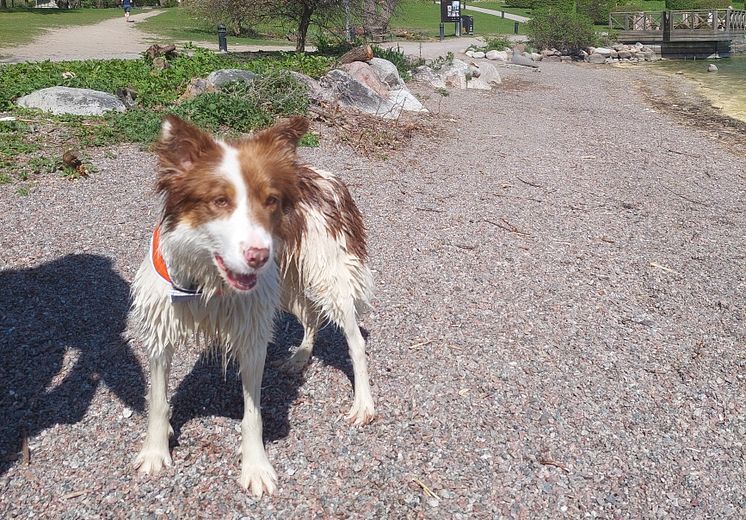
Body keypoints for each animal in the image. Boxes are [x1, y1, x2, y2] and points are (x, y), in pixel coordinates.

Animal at [129, 116, 374, 498]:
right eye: (219, 200)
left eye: (271, 200)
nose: (259, 255)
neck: (207, 281)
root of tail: (327, 176)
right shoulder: (160, 330)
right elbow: (157, 400)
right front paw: (156, 451)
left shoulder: (252, 333)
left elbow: (252, 415)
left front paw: (255, 466)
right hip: (286, 280)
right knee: (311, 316)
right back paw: (300, 356)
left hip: (326, 275)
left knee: (355, 340)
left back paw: (363, 403)